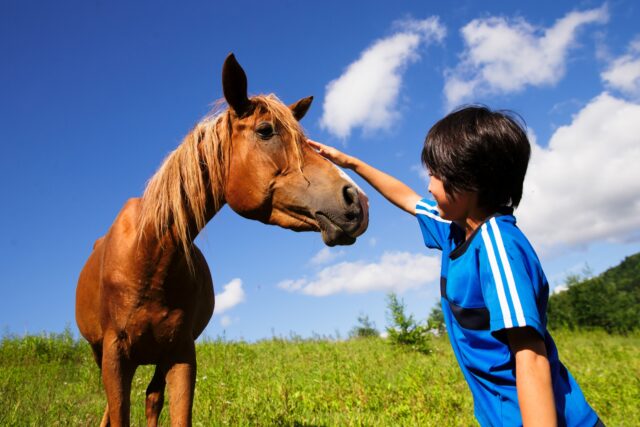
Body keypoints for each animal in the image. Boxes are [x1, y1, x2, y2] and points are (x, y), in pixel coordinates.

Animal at [75, 53, 369, 427]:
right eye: (265, 131)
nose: (357, 200)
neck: (149, 256)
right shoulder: (115, 356)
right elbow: (117, 412)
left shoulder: (182, 354)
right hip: (104, 353)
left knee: (152, 398)